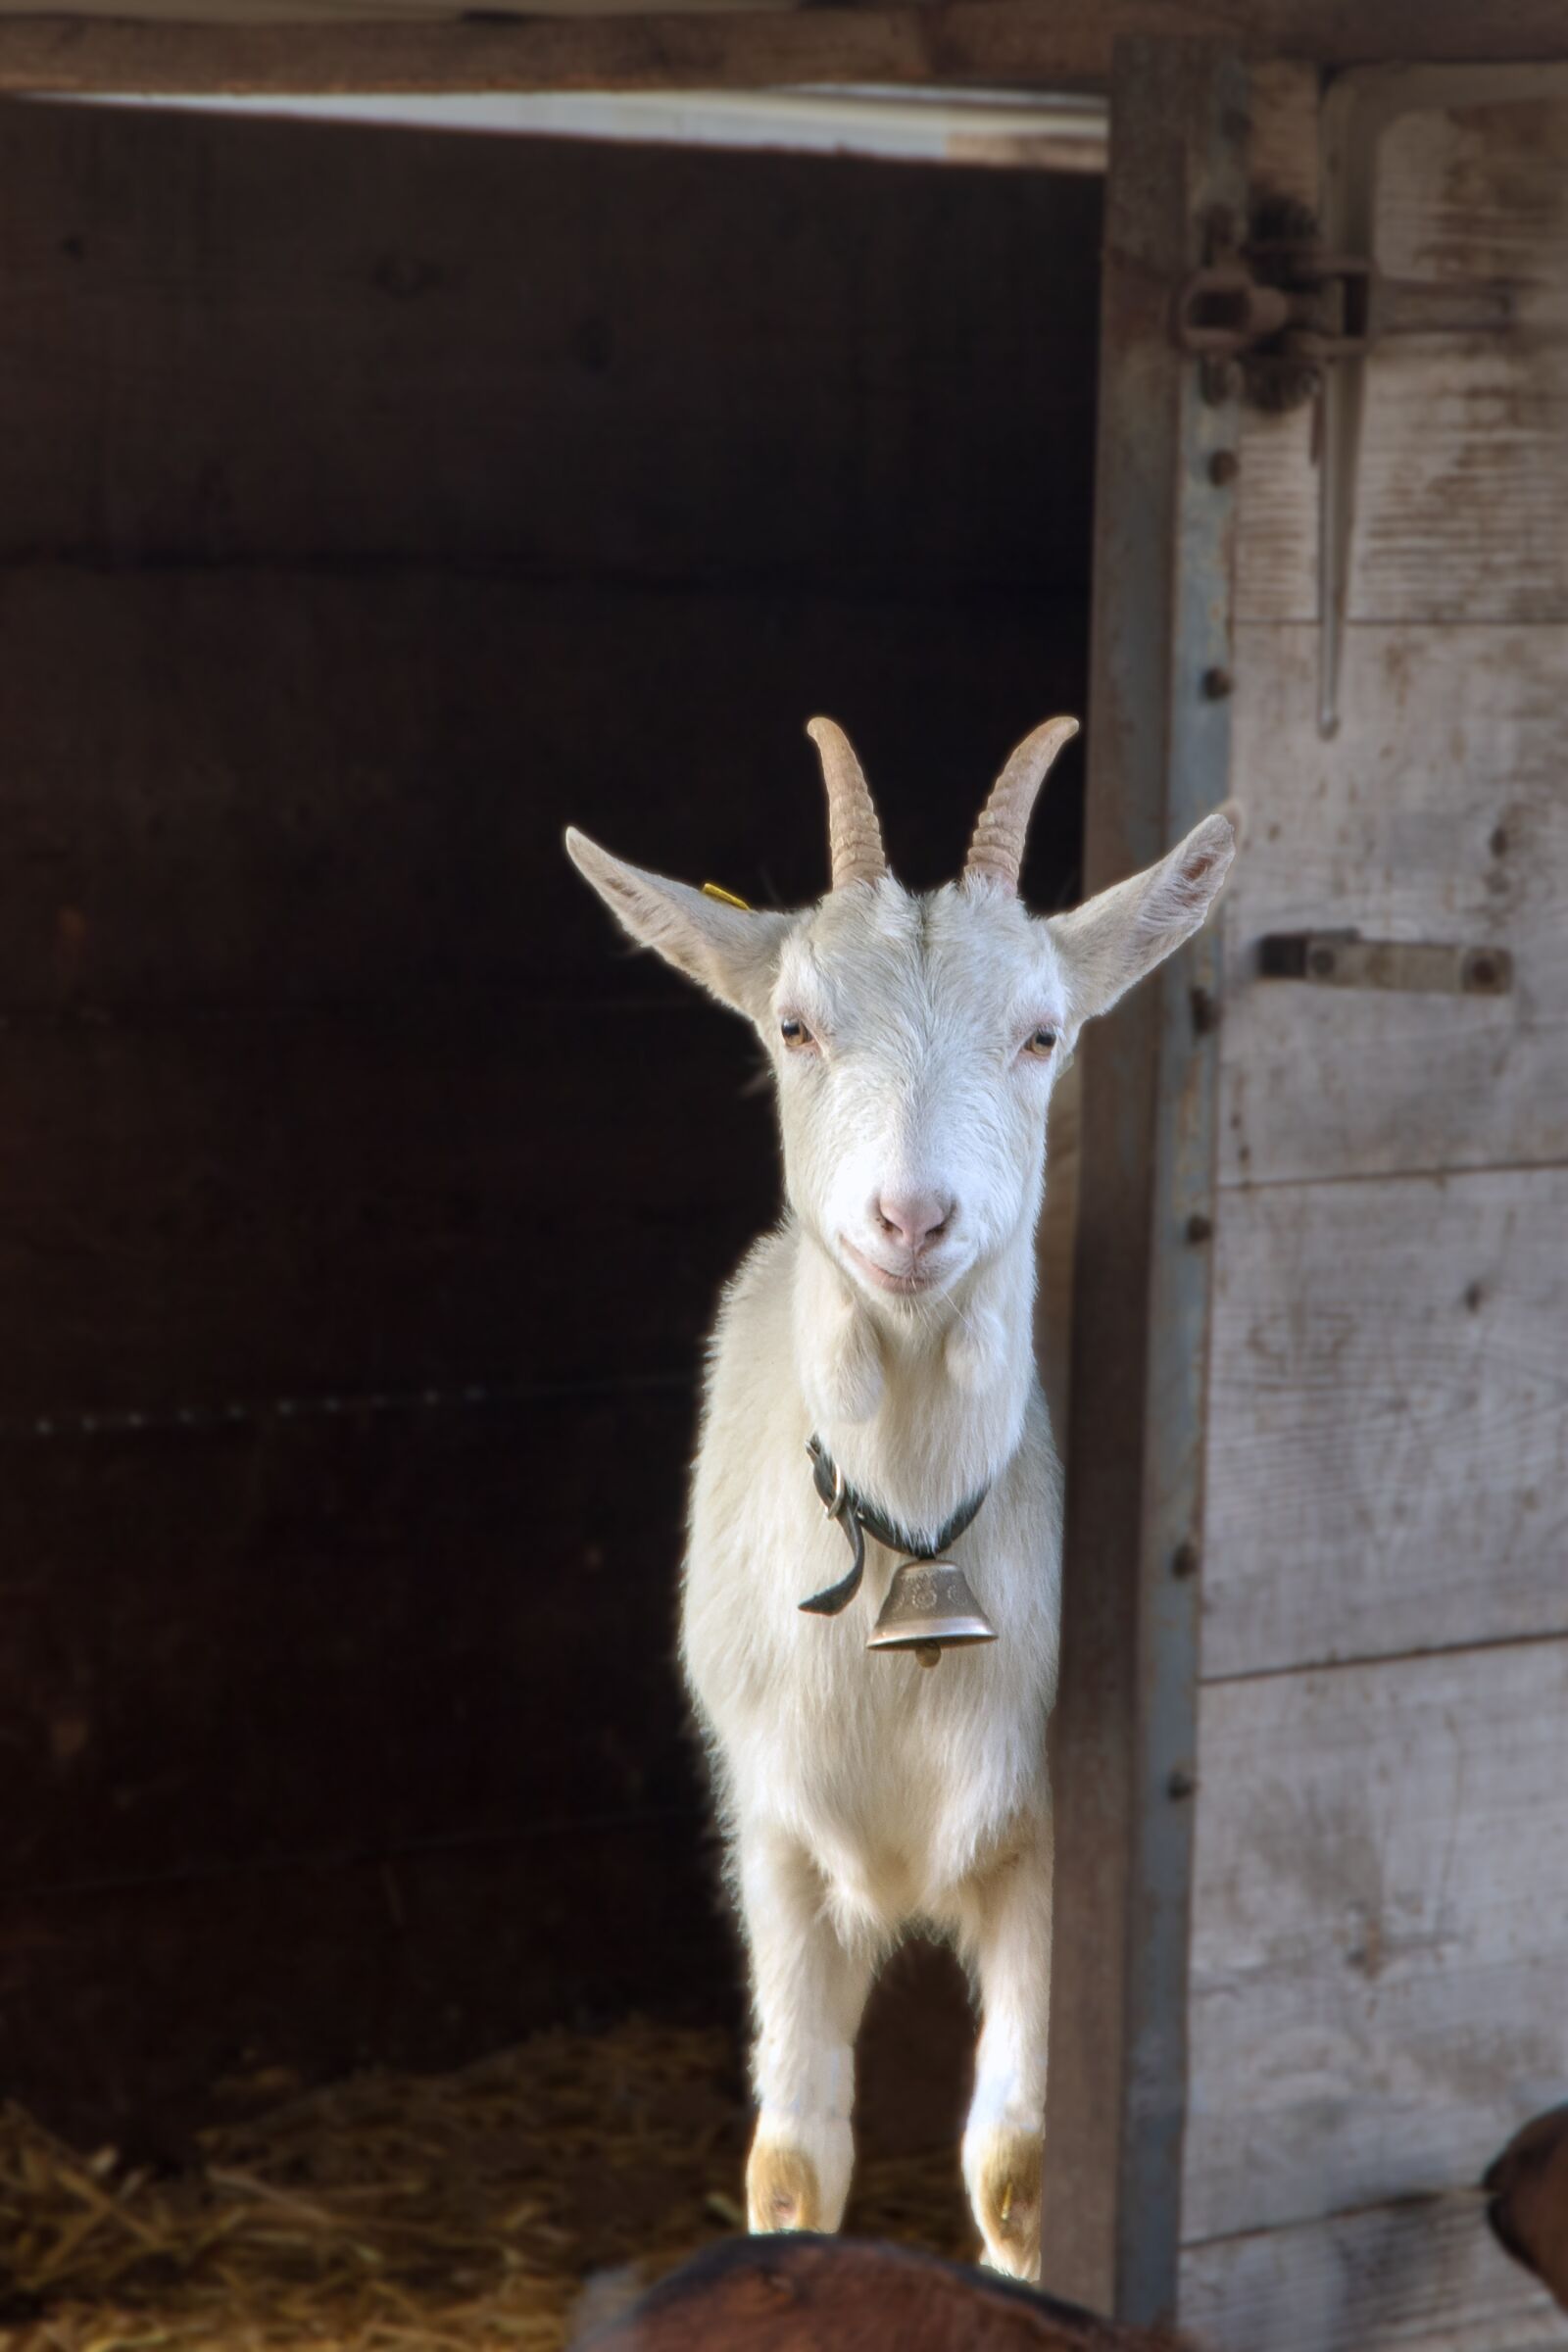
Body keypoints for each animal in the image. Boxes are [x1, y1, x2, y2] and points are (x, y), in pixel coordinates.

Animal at [567, 720, 1236, 2278]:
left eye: (1042, 1034)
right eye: (794, 1028)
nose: (911, 1220)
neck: (913, 1544)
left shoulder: (1051, 1836)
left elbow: (1018, 2170)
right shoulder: (770, 1830)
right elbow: (791, 2159)